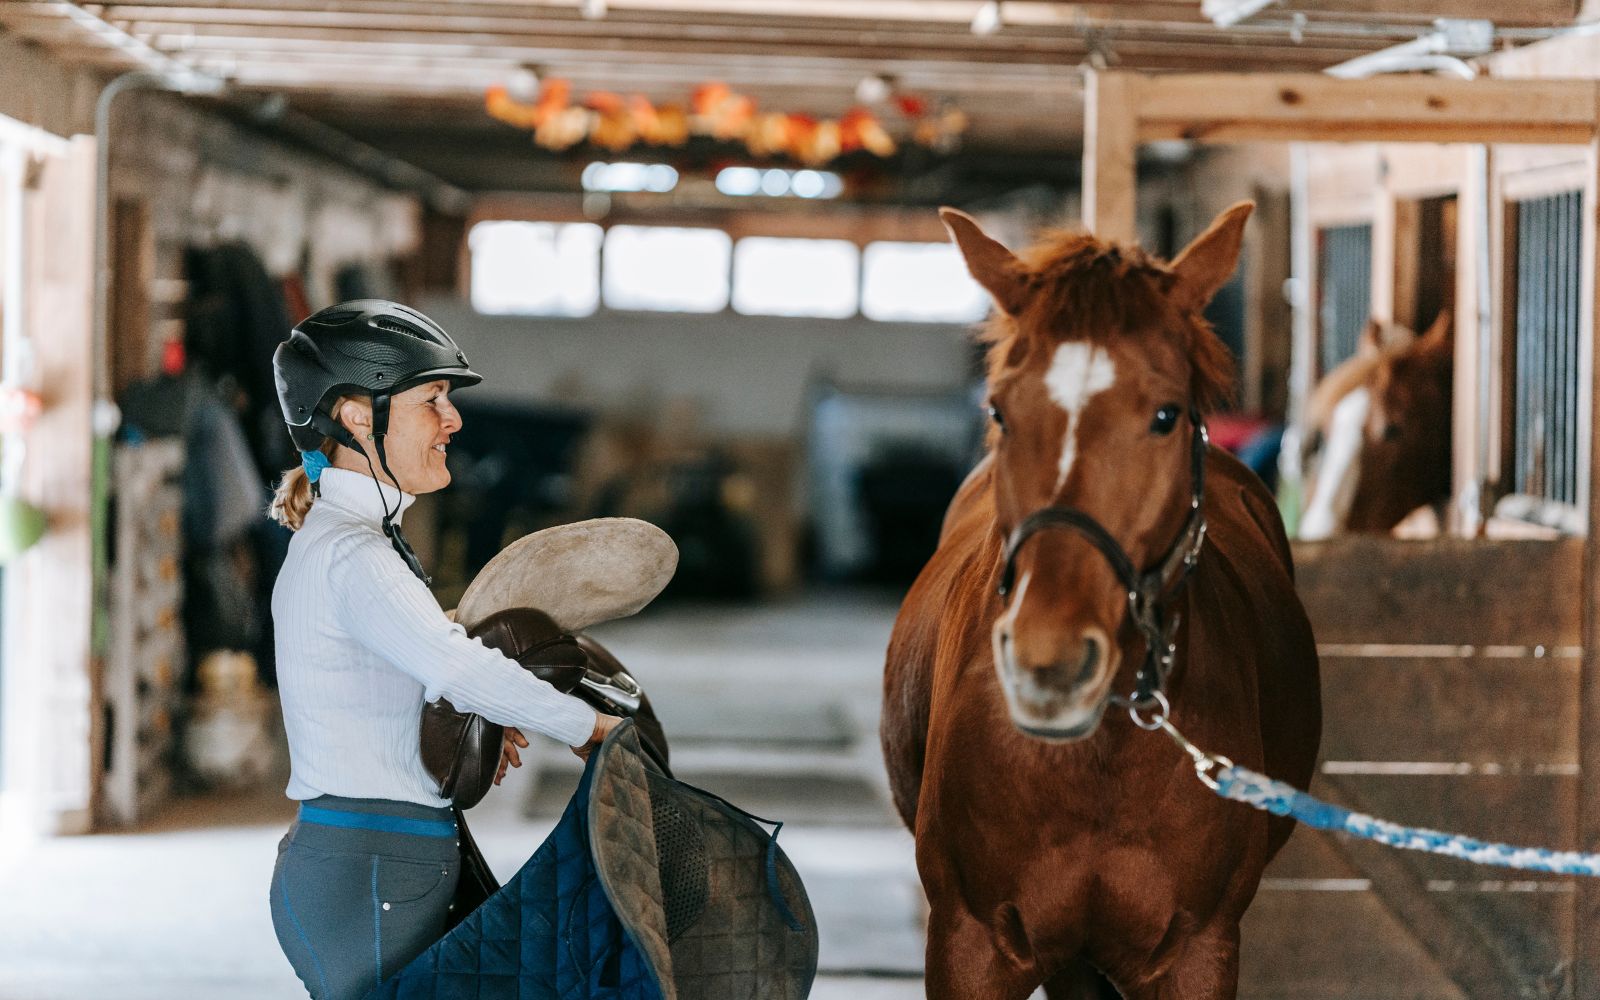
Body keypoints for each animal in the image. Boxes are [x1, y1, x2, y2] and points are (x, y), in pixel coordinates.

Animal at [883, 204, 1318, 998]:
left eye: (1167, 415)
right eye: (1000, 410)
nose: (1047, 661)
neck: (1098, 766)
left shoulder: (1199, 956)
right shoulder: (969, 948)